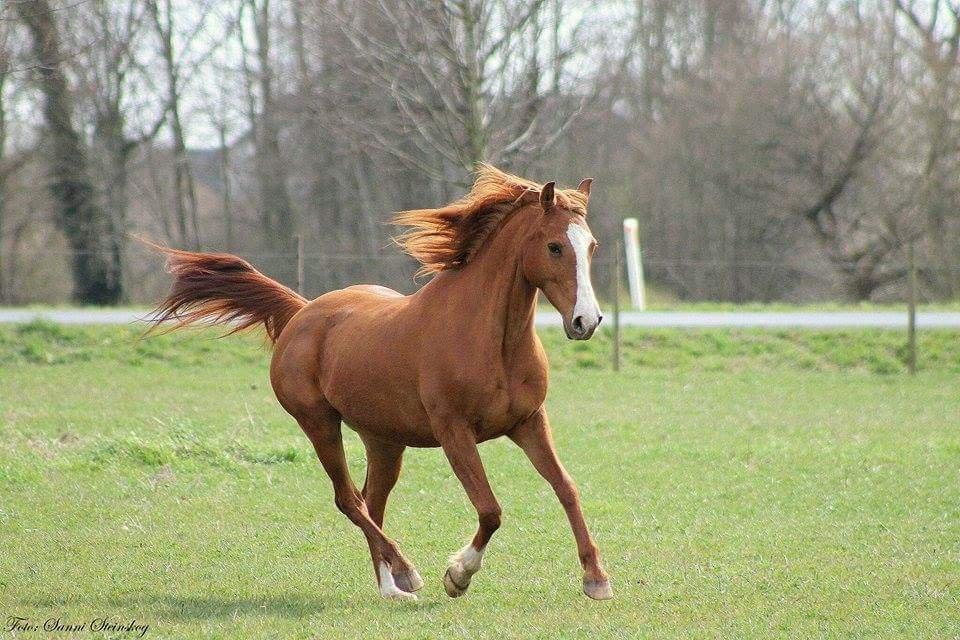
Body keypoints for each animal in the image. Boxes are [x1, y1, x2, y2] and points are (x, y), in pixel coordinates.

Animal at [152, 164, 616, 600]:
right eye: (554, 246)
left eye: (591, 246)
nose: (586, 321)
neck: (491, 341)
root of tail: (302, 312)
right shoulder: (454, 432)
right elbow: (490, 509)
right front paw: (458, 575)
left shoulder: (529, 422)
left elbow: (567, 488)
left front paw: (596, 579)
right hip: (319, 424)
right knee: (349, 500)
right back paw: (406, 573)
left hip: (384, 441)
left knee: (372, 502)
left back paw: (390, 587)